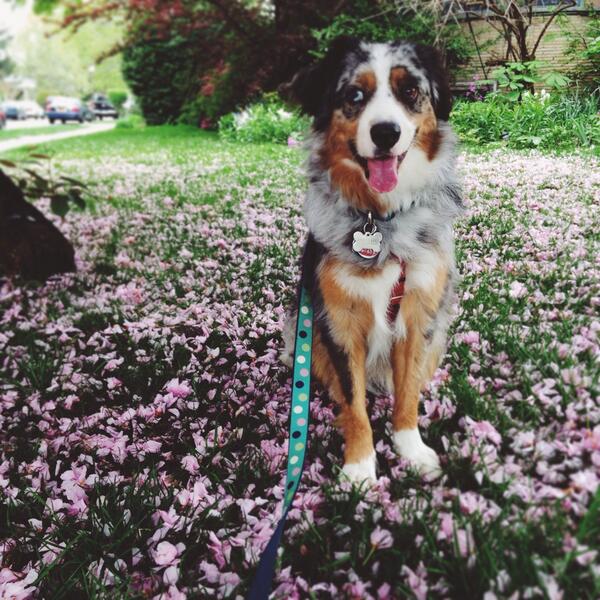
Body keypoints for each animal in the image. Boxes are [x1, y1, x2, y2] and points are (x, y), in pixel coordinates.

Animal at [282, 38, 464, 482]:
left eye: (410, 90)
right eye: (354, 95)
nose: (385, 132)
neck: (380, 218)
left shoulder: (418, 313)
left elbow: (408, 391)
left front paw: (410, 449)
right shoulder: (339, 322)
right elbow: (354, 401)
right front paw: (360, 467)